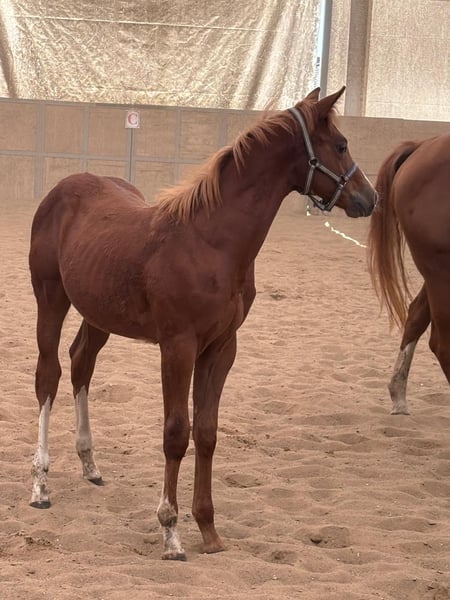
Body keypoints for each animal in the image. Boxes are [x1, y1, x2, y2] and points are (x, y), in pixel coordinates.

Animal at [28, 86, 376, 560]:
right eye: (340, 146)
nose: (369, 198)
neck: (211, 243)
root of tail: (62, 190)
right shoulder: (178, 346)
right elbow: (177, 432)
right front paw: (171, 532)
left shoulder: (222, 347)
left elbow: (207, 433)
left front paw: (209, 530)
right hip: (51, 299)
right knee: (49, 376)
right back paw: (40, 485)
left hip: (97, 314)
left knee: (81, 364)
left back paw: (90, 464)